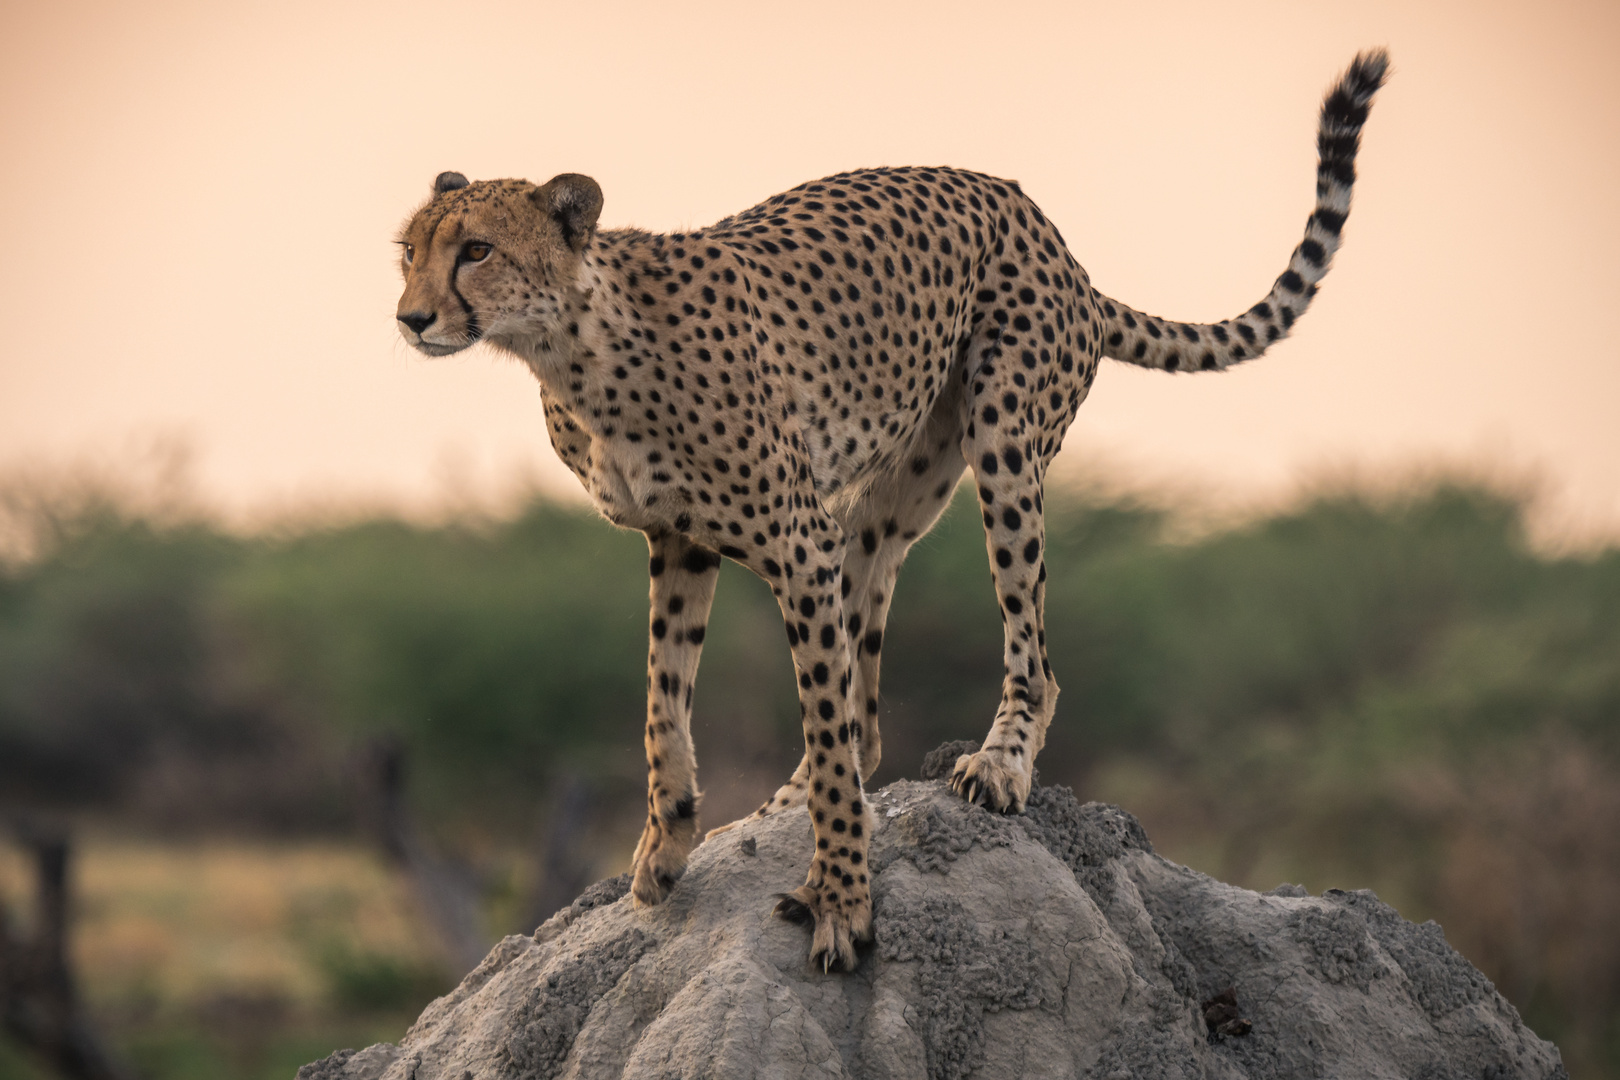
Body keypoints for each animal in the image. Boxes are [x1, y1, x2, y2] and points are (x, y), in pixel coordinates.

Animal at [395, 55, 1393, 977]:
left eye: (476, 250)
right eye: (407, 250)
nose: (410, 318)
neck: (574, 346)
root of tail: (1050, 233)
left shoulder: (793, 538)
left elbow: (822, 734)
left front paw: (842, 900)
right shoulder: (680, 540)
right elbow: (663, 704)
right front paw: (668, 846)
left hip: (1002, 439)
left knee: (1018, 660)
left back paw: (998, 765)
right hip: (887, 498)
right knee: (866, 705)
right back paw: (779, 807)